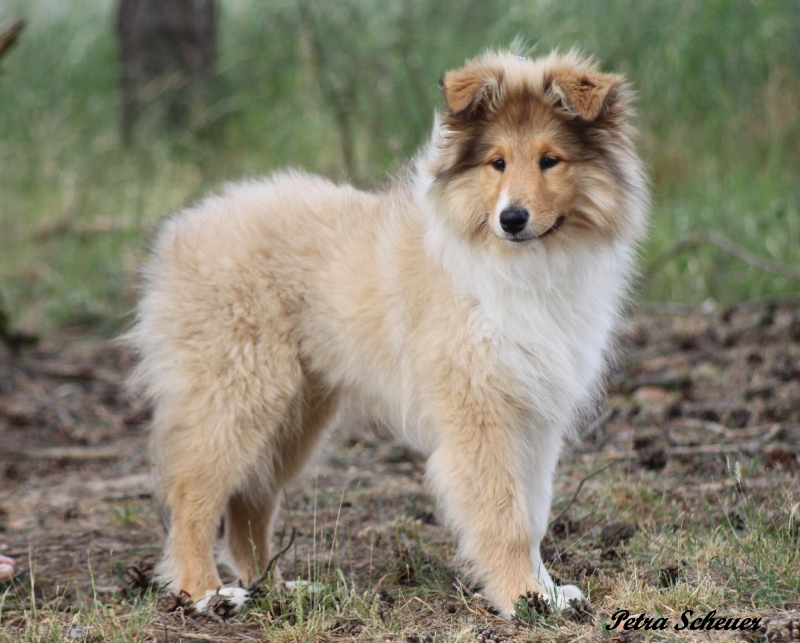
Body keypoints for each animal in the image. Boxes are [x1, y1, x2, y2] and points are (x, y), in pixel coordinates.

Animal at [126, 49, 648, 618]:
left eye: (551, 160)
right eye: (497, 163)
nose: (512, 219)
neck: (523, 263)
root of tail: (183, 228)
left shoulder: (535, 416)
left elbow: (532, 517)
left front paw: (549, 594)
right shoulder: (481, 414)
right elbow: (503, 515)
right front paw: (521, 597)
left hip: (295, 414)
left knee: (250, 501)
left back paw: (277, 588)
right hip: (238, 394)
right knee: (191, 496)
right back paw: (205, 593)